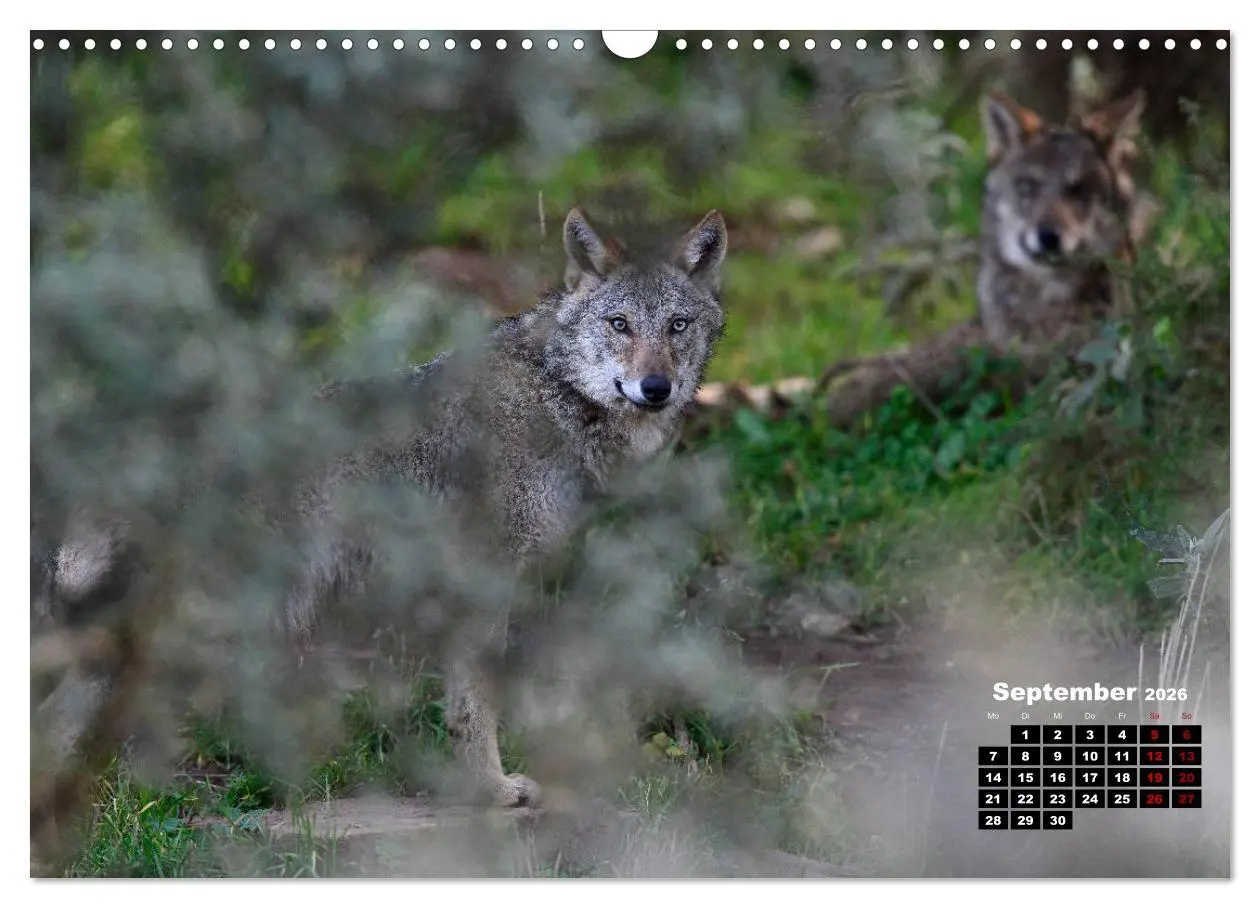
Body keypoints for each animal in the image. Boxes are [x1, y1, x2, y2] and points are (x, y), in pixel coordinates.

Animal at [34, 206, 729, 813]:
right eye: (619, 324)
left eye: (677, 326)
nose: (656, 388)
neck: (554, 395)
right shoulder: (484, 581)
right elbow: (476, 706)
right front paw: (492, 792)